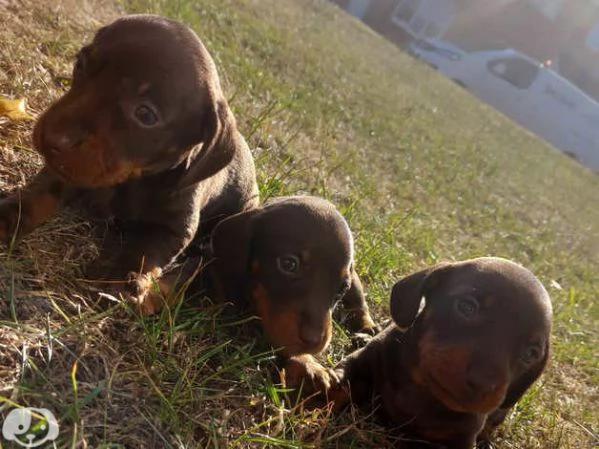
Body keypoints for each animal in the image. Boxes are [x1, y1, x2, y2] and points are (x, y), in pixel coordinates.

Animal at [0, 14, 258, 316]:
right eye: (81, 63)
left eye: (145, 114)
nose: (52, 138)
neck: (133, 180)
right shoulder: (65, 171)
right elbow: (39, 194)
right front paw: (8, 213)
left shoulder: (175, 227)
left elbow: (145, 251)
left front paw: (122, 281)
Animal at [206, 195, 380, 388]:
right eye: (288, 264)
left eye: (342, 288)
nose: (314, 341)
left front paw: (309, 363)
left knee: (359, 304)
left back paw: (368, 329)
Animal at [316, 258, 556, 446]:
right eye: (467, 307)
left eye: (531, 353)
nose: (482, 385)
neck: (424, 387)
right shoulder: (361, 364)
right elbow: (335, 388)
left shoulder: (460, 438)